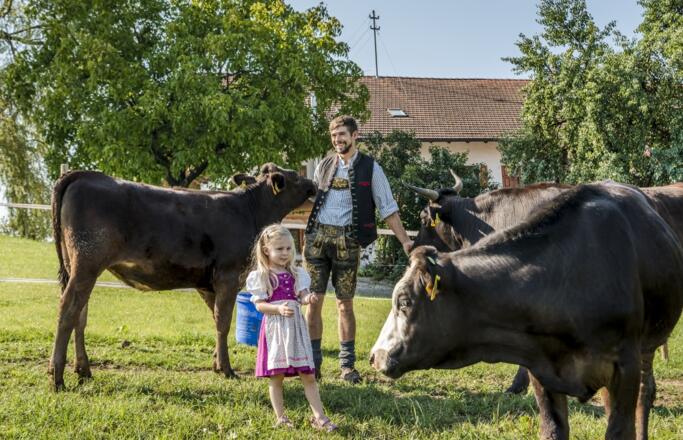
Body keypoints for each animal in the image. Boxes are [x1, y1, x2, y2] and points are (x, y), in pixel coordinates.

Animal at [48, 163, 316, 391]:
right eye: (295, 175)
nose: (313, 183)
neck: (249, 210)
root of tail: (86, 175)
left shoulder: (208, 285)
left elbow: (216, 319)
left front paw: (216, 363)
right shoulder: (228, 276)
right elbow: (223, 322)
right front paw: (227, 369)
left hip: (78, 267)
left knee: (80, 315)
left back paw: (83, 370)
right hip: (87, 264)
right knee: (67, 309)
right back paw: (57, 377)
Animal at [371, 183, 683, 440]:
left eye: (403, 302)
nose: (375, 356)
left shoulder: (625, 364)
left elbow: (620, 429)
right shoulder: (542, 367)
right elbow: (553, 430)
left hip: (645, 348)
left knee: (645, 394)